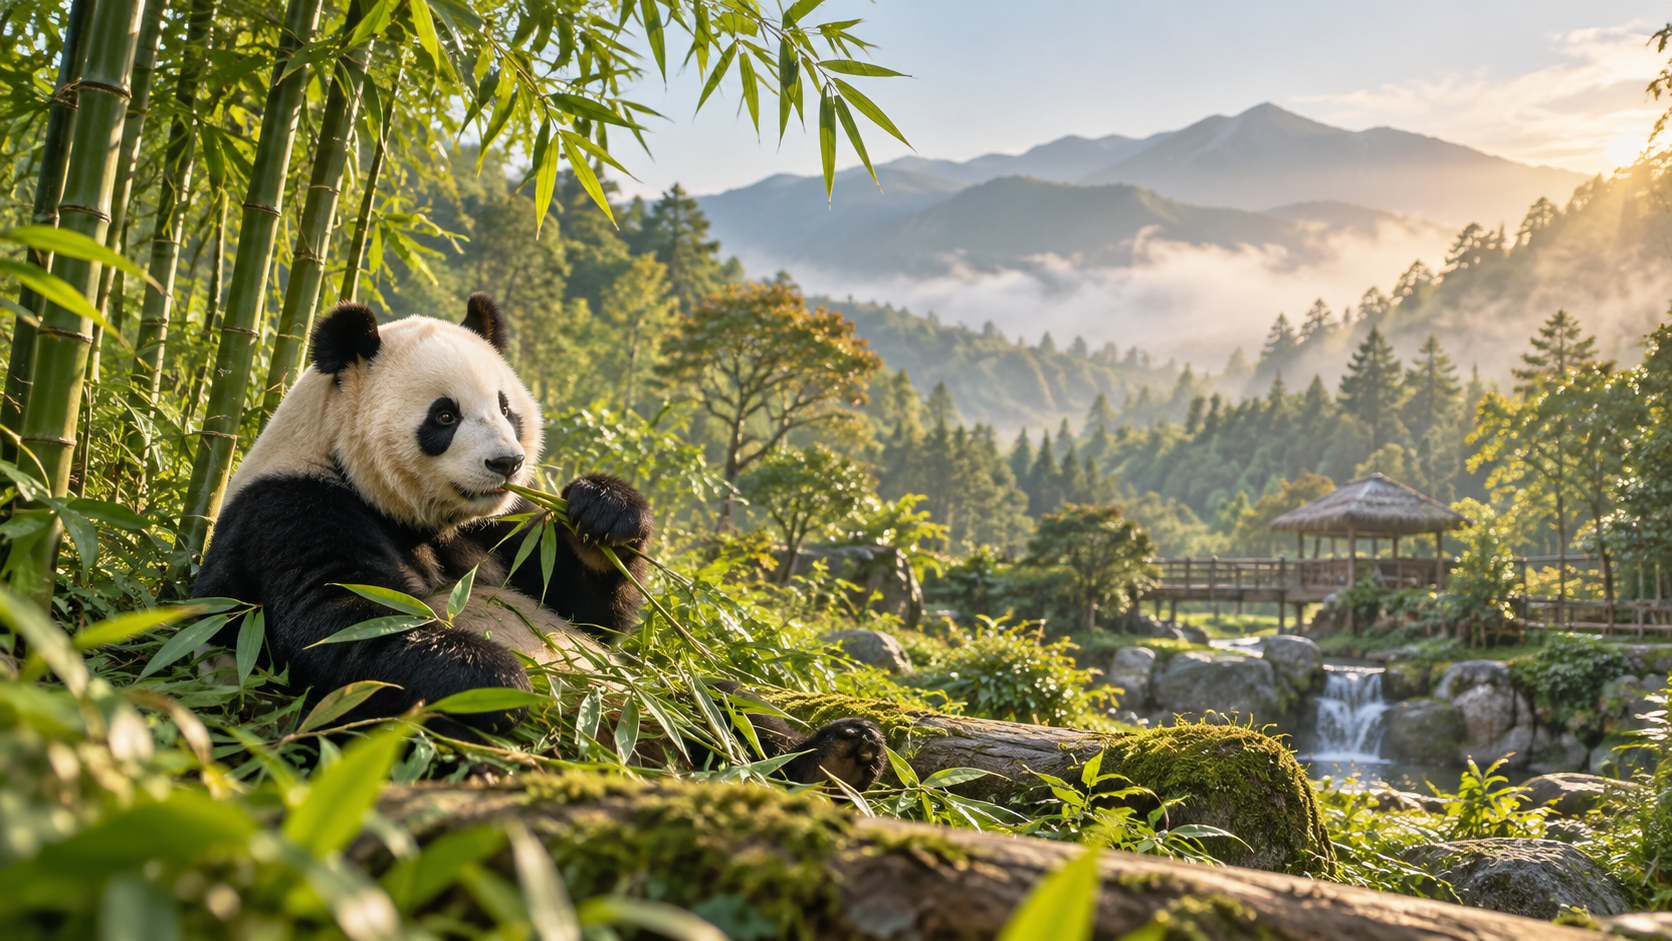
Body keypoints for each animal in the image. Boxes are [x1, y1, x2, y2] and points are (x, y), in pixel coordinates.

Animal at [194, 294, 886, 789]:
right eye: (444, 415)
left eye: (506, 407)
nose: (507, 462)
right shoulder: (293, 508)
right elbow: (345, 619)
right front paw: (504, 682)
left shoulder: (498, 530)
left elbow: (585, 608)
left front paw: (603, 512)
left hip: (649, 693)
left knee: (719, 703)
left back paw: (838, 755)